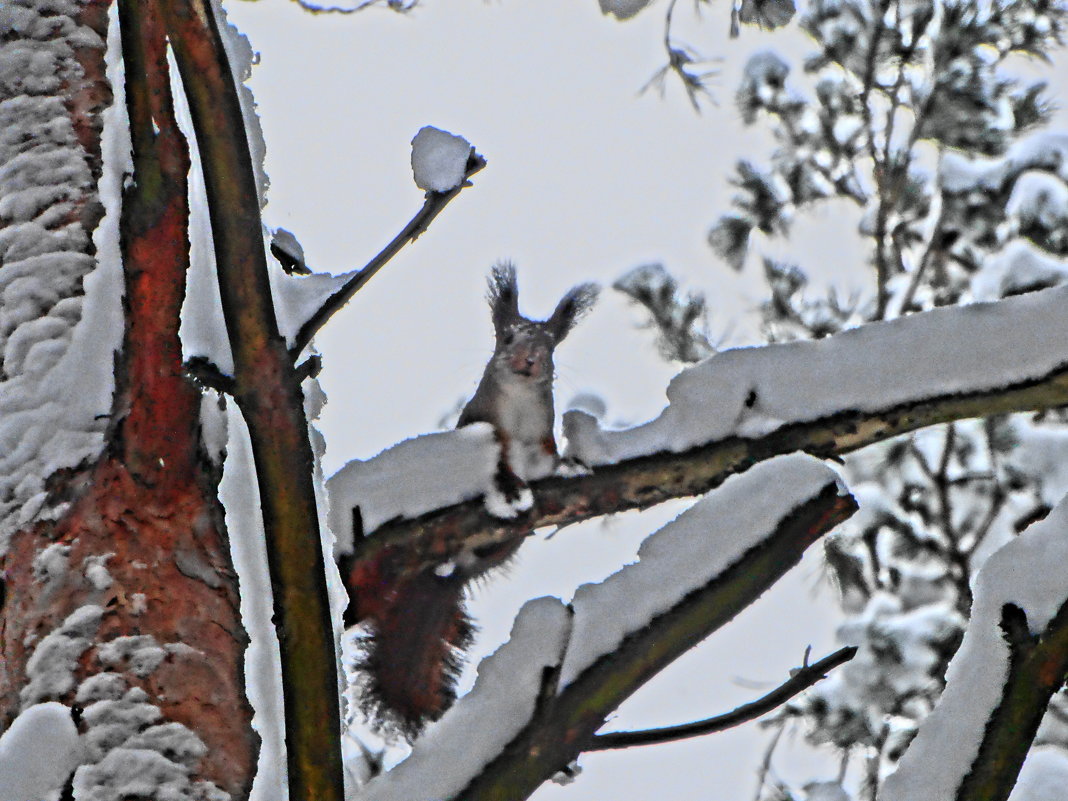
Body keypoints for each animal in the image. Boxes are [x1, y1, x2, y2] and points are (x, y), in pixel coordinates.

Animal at [352, 263, 598, 739]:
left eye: (550, 345)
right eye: (507, 337)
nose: (529, 360)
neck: (519, 406)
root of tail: (452, 573)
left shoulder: (540, 441)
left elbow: (547, 462)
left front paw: (568, 467)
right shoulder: (482, 427)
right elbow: (496, 465)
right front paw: (506, 487)